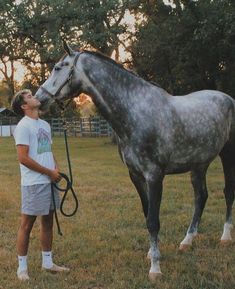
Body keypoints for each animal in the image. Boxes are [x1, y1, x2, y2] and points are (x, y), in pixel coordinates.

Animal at [34, 42, 234, 280]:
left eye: (58, 67)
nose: (39, 99)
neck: (135, 112)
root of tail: (228, 98)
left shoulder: (154, 175)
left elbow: (153, 221)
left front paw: (155, 268)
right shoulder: (136, 175)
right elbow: (147, 214)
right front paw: (152, 253)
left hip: (227, 154)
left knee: (228, 192)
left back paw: (225, 237)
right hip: (199, 164)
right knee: (201, 196)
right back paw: (187, 241)